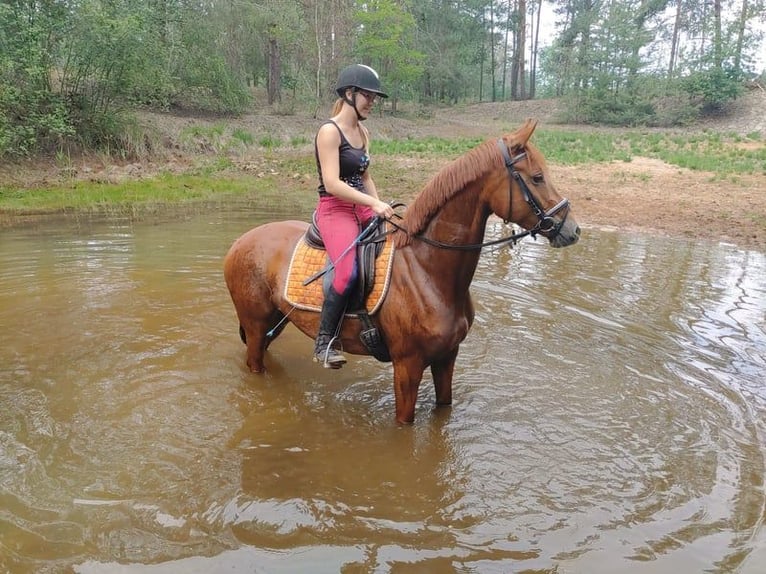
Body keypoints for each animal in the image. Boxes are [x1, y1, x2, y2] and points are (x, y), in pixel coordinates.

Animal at [223, 119, 580, 424]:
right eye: (537, 177)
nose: (572, 230)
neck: (427, 271)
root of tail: (240, 242)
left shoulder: (448, 358)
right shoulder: (407, 367)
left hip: (275, 321)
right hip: (256, 325)